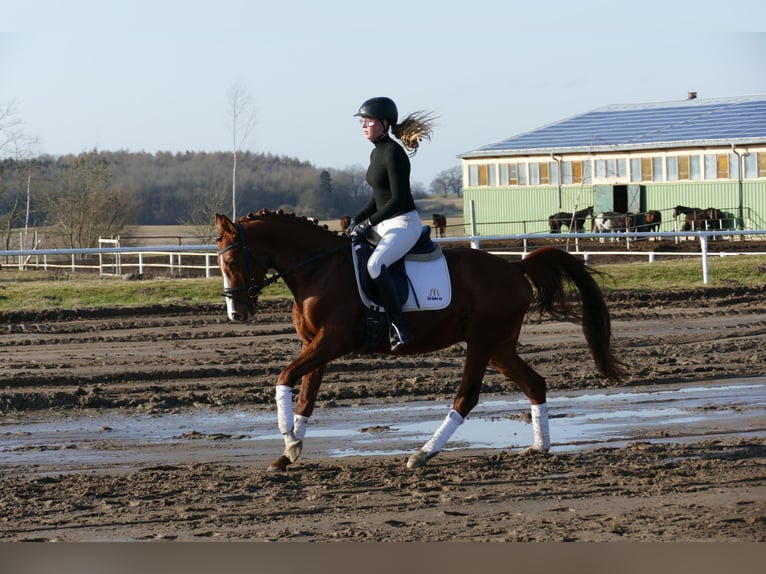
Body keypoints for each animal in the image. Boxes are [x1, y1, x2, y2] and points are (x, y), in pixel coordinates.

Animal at [215, 209, 626, 472]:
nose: (237, 313)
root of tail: (514, 266)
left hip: (481, 342)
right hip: (499, 347)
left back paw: (422, 454)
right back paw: (539, 447)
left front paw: (289, 441)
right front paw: (288, 453)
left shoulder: (332, 342)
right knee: (534, 383)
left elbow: (284, 377)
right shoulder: (315, 345)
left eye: (232, 262)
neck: (318, 269)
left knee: (467, 397)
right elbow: (305, 397)